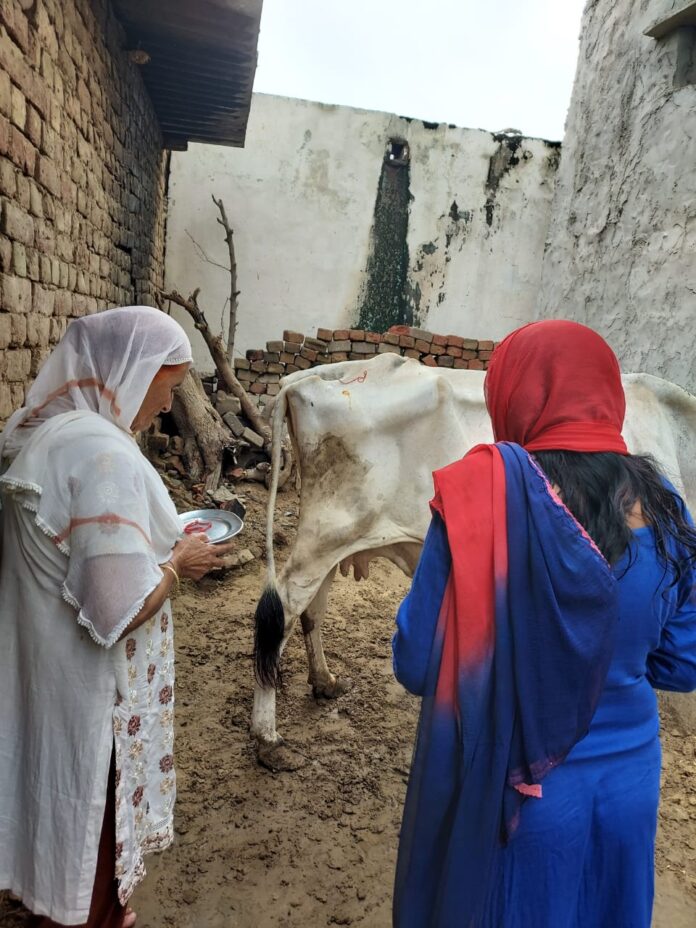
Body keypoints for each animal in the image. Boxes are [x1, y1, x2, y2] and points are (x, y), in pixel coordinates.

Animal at [253, 352, 696, 764]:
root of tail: (309, 378)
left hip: (332, 537)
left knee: (311, 611)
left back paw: (324, 682)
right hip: (328, 533)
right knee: (281, 613)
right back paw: (266, 736)